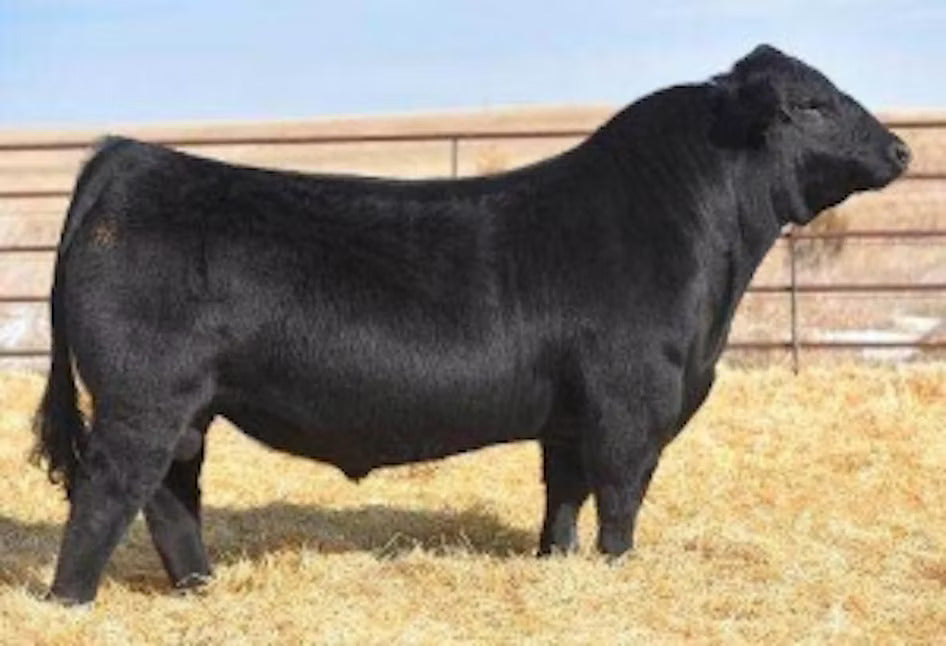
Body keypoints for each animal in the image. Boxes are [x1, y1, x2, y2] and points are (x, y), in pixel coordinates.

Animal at [33, 45, 909, 604]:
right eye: (811, 104)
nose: (901, 149)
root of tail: (131, 158)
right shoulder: (632, 406)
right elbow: (620, 500)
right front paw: (616, 576)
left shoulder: (572, 418)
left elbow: (564, 497)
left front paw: (556, 566)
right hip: (144, 399)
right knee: (110, 491)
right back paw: (71, 602)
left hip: (186, 409)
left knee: (170, 495)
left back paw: (201, 590)